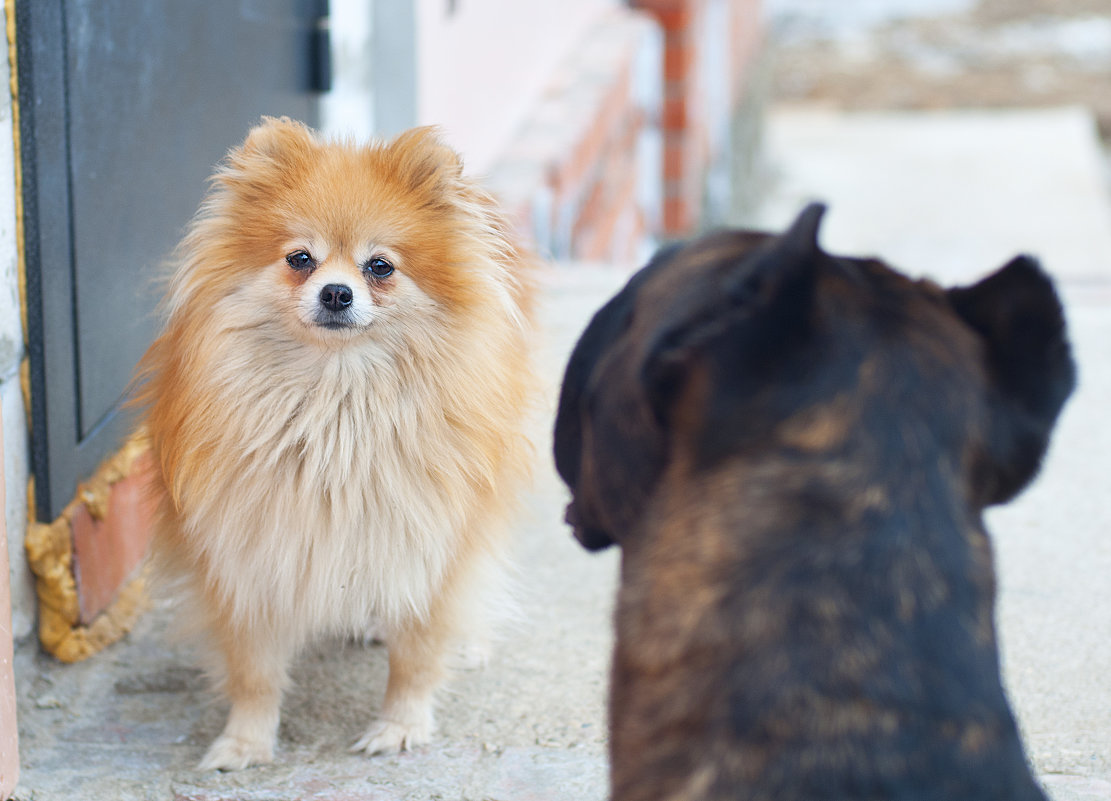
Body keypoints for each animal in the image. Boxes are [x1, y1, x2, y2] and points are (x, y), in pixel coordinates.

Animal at [136, 117, 535, 768]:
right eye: (301, 259)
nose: (337, 293)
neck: (337, 401)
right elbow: (253, 670)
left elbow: (417, 651)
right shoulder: (246, 552)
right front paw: (245, 740)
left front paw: (401, 724)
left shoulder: (433, 538)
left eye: (380, 267)